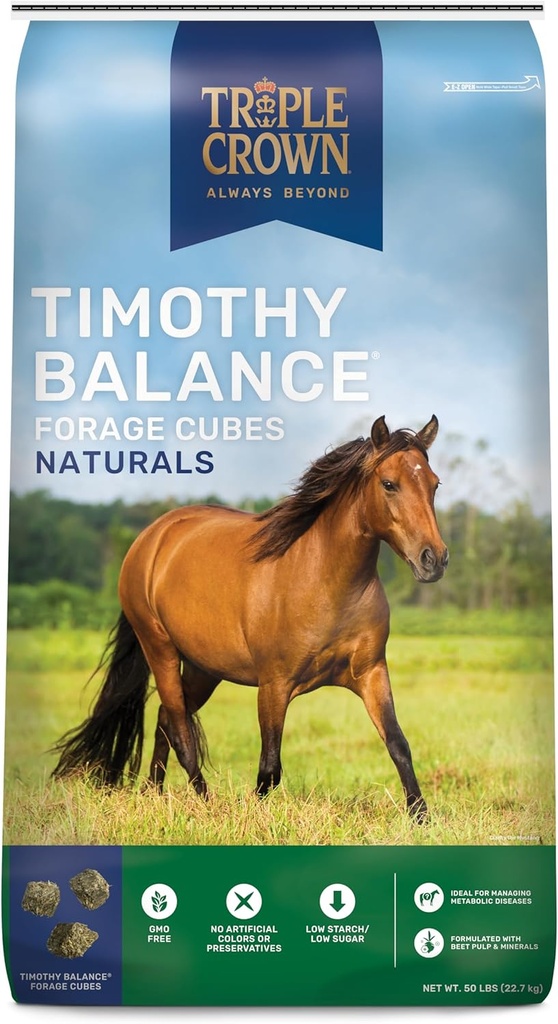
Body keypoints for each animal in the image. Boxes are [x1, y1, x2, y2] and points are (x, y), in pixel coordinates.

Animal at [52, 414, 448, 820]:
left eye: (434, 484)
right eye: (389, 484)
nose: (433, 559)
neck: (324, 581)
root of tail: (150, 538)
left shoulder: (371, 673)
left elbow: (398, 744)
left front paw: (421, 817)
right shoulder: (274, 685)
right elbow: (269, 767)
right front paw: (251, 815)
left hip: (204, 668)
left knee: (165, 720)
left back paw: (156, 794)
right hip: (159, 649)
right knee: (179, 729)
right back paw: (204, 805)